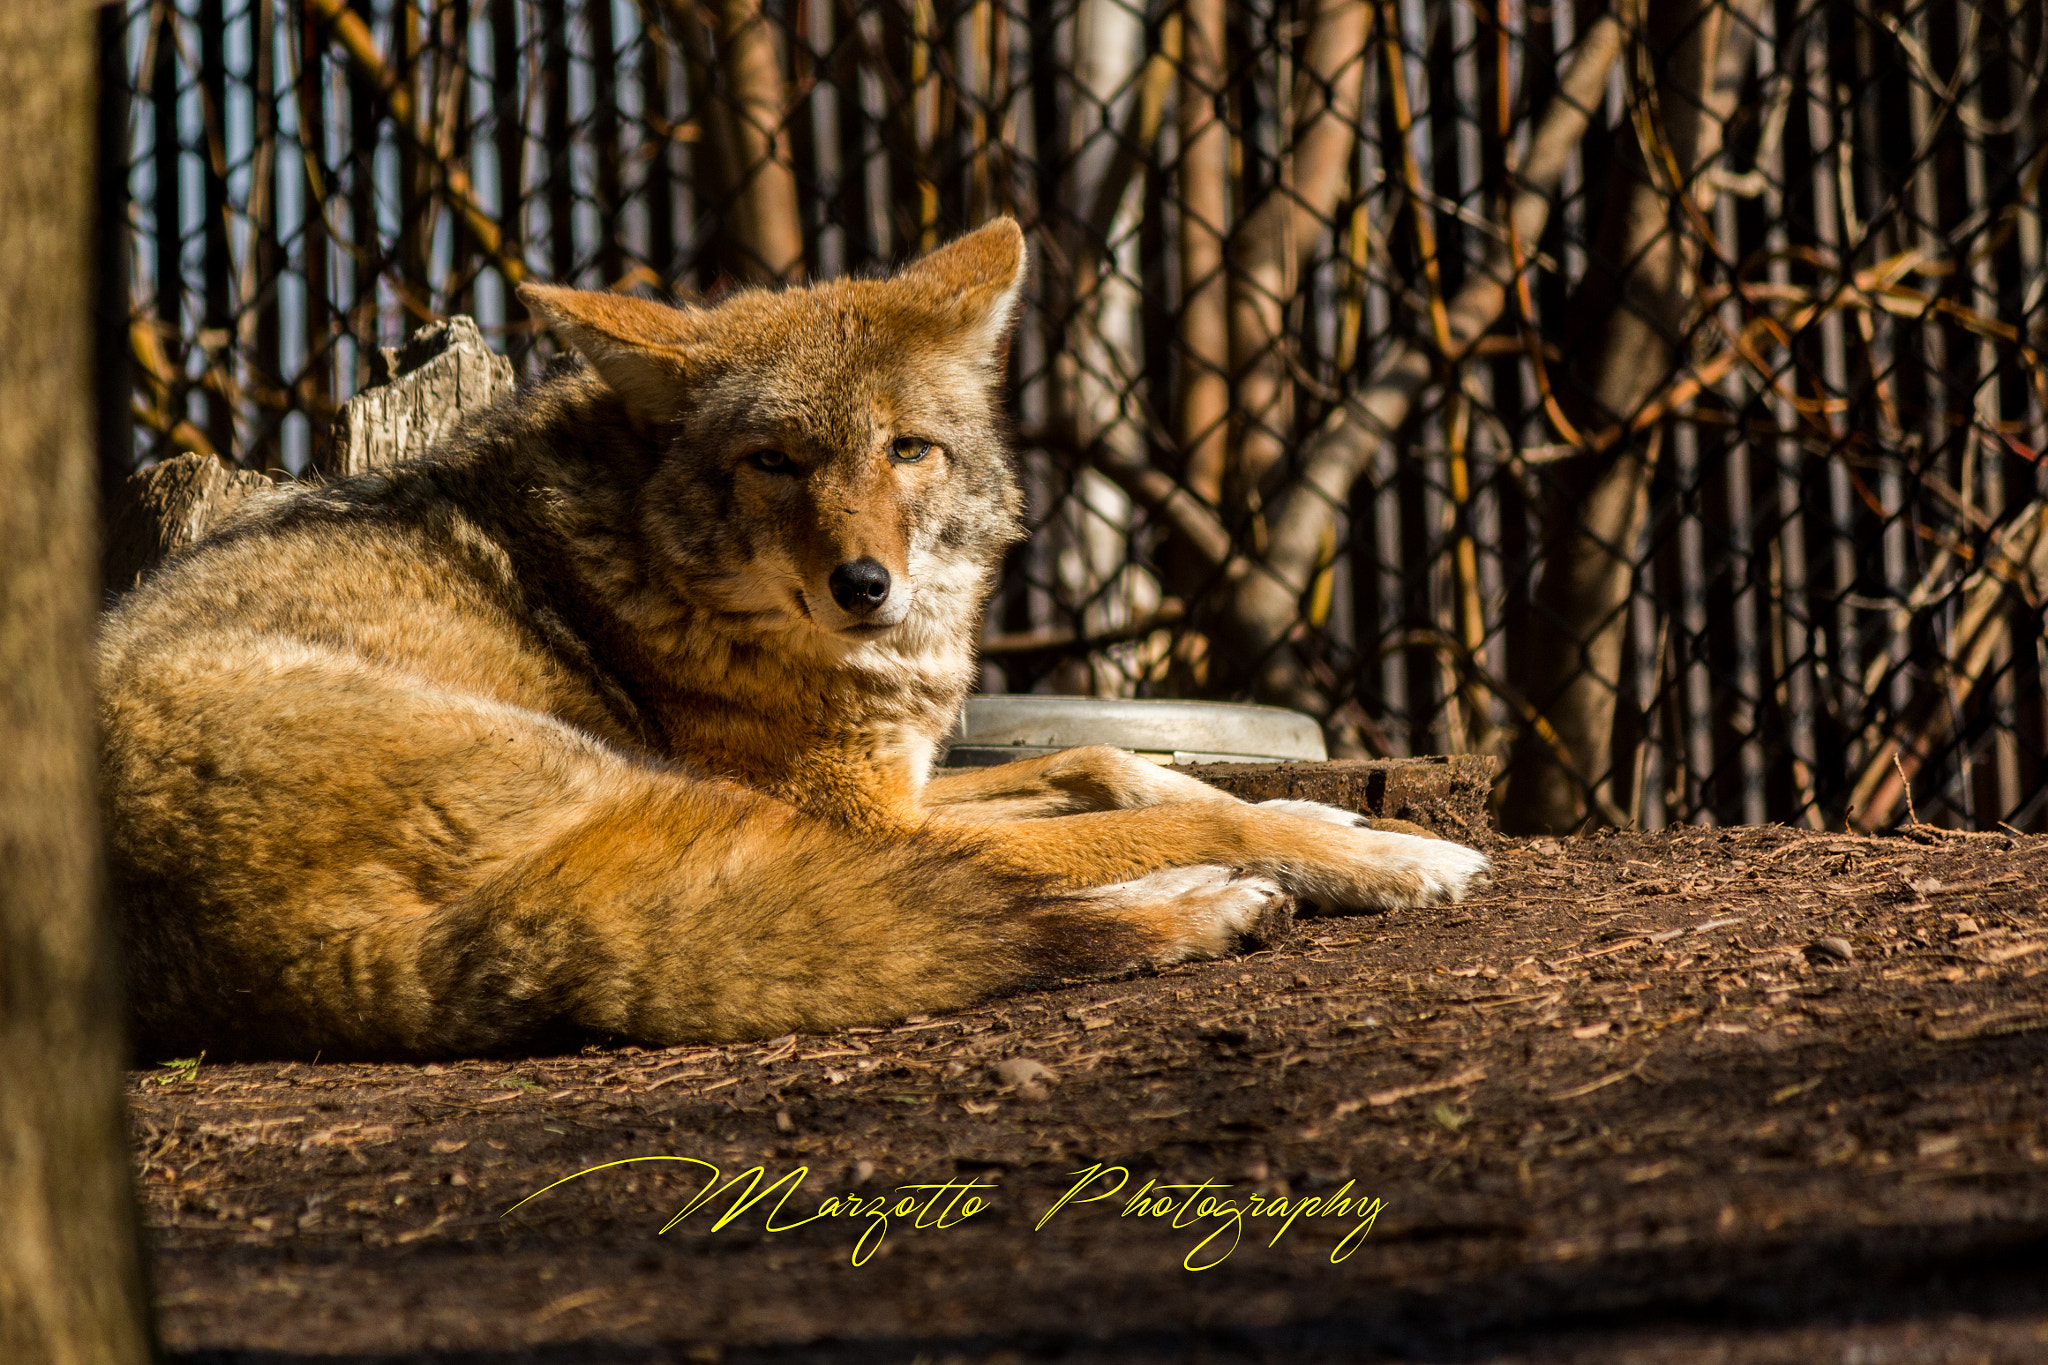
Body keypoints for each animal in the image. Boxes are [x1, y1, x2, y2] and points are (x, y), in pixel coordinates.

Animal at [98, 218, 1487, 1059]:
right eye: (775, 462)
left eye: (906, 450)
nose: (865, 585)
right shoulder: (864, 812)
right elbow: (1167, 813)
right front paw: (1384, 853)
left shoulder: (903, 787)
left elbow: (1114, 768)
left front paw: (1323, 812)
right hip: (679, 806)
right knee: (987, 909)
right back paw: (1207, 905)